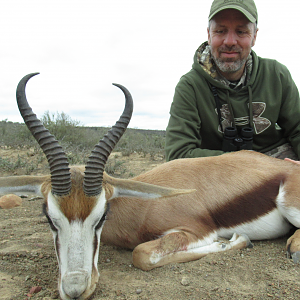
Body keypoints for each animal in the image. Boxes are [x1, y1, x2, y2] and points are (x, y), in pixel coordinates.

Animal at [0, 73, 300, 300]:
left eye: (101, 216)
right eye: (49, 218)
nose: (76, 289)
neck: (141, 207)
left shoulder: (196, 230)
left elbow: (142, 254)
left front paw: (235, 241)